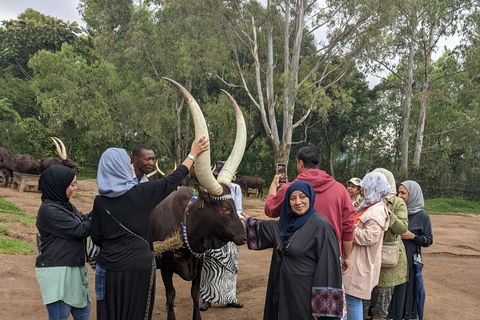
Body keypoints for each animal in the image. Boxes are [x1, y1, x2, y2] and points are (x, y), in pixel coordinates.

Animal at [150, 185, 246, 320]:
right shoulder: (165, 267)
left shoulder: (198, 263)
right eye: (225, 209)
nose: (244, 237)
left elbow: (195, 293)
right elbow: (171, 294)